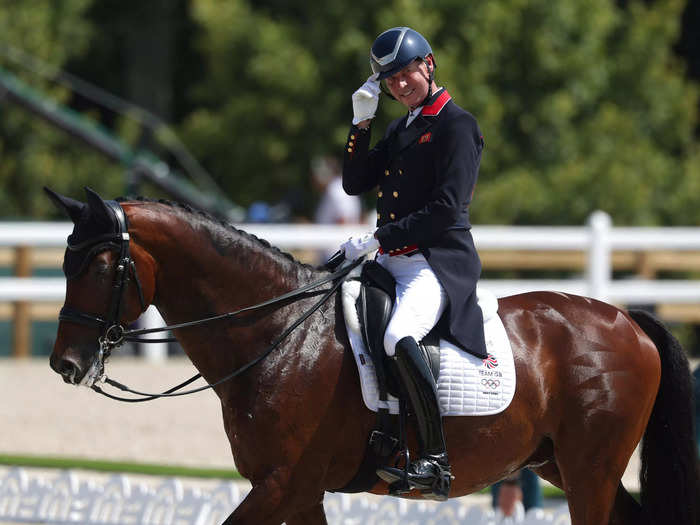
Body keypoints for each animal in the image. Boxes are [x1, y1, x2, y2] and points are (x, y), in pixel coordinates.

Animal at [46, 186, 696, 520]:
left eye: (99, 267)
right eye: (66, 263)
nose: (66, 365)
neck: (278, 334)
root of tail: (626, 319)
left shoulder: (282, 484)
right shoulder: (299, 490)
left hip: (590, 471)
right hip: (563, 465)